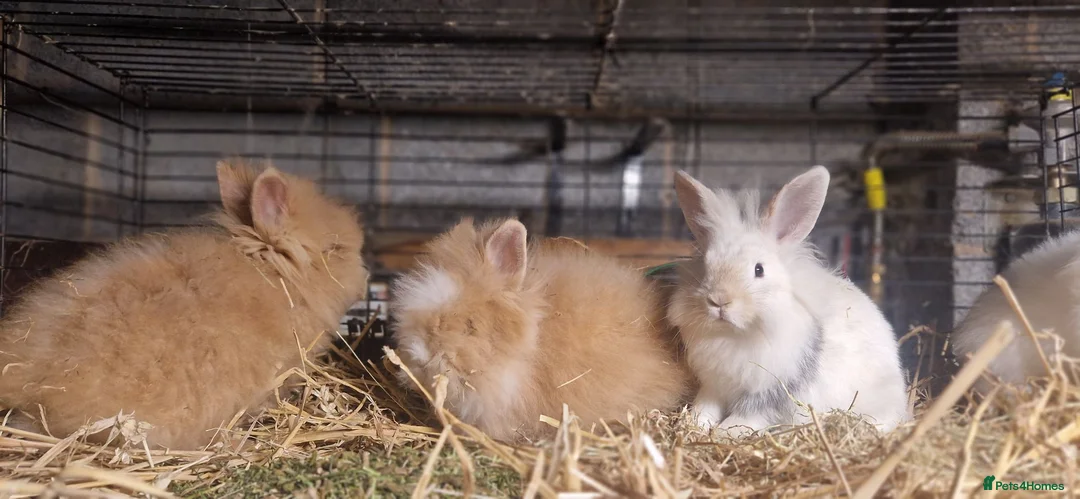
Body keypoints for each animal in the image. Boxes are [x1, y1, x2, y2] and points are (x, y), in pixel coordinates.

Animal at [667, 166, 910, 437]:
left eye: (759, 270)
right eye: (706, 266)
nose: (719, 301)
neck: (733, 335)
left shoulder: (770, 392)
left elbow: (745, 417)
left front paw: (723, 433)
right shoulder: (714, 384)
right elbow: (705, 405)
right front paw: (693, 425)